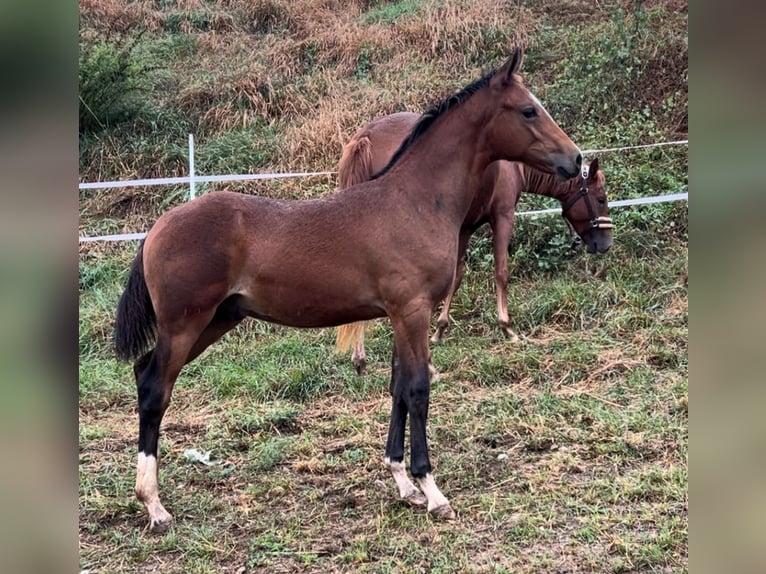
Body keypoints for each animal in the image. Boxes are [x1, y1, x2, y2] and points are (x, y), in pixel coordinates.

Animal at [112, 47, 584, 532]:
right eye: (528, 110)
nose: (575, 159)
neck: (414, 201)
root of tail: (158, 226)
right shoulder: (413, 310)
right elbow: (418, 389)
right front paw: (431, 490)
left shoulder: (399, 315)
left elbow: (398, 386)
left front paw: (403, 483)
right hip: (186, 324)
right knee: (156, 388)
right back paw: (153, 503)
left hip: (217, 319)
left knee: (145, 372)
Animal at [334, 112, 612, 376]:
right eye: (600, 199)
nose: (605, 244)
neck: (515, 164)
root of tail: (367, 136)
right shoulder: (502, 216)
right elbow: (501, 272)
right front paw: (506, 328)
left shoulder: (465, 228)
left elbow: (455, 278)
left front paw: (440, 329)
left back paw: (360, 359)